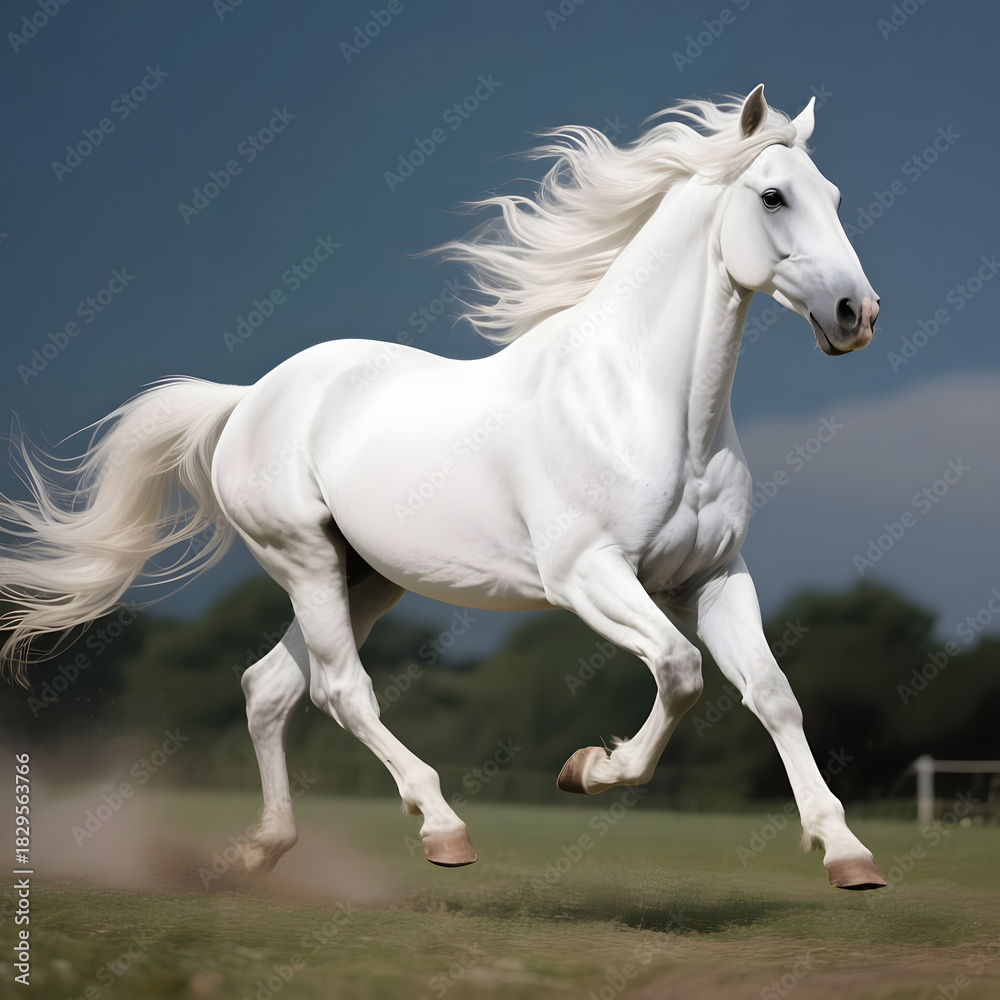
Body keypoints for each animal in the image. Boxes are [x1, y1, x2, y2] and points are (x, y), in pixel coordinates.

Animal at [1, 85, 886, 889]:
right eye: (772, 196)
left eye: (837, 199)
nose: (858, 313)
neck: (644, 404)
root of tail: (250, 400)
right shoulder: (588, 575)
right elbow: (680, 669)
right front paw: (587, 769)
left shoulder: (713, 575)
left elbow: (772, 693)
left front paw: (847, 853)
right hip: (303, 560)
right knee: (340, 691)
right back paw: (442, 829)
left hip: (364, 578)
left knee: (270, 689)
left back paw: (260, 852)